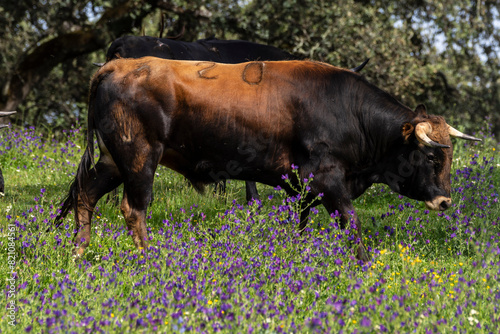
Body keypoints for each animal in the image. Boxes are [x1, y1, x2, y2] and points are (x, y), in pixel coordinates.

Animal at [54, 58, 480, 260]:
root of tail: (119, 64)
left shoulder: (305, 188)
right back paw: (149, 259)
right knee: (133, 208)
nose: (445, 201)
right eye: (430, 156)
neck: (348, 111)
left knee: (85, 196)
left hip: (112, 159)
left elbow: (303, 226)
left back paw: (78, 251)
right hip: (140, 157)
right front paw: (364, 267)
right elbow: (353, 225)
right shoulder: (329, 179)